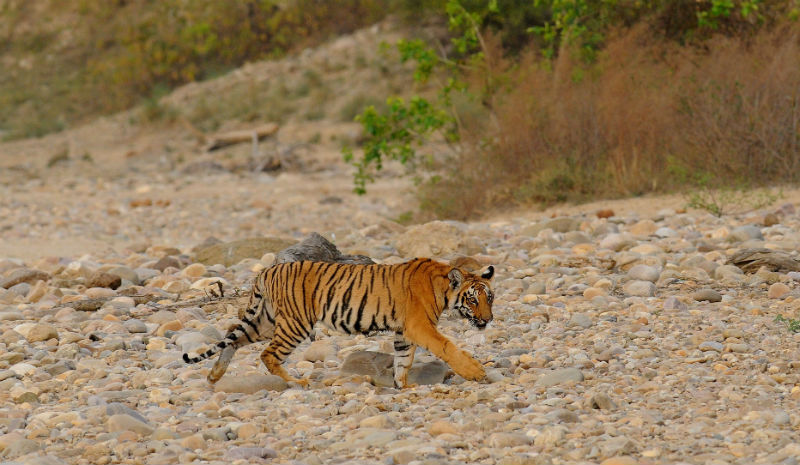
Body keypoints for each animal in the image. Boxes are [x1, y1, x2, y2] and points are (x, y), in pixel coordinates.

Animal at [182, 258, 494, 388]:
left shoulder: (403, 332)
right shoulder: (419, 326)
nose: (488, 320)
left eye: (489, 298)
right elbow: (446, 347)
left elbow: (403, 360)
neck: (443, 288)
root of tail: (265, 271)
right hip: (295, 323)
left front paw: (403, 387)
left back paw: (214, 376)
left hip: (267, 321)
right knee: (268, 354)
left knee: (233, 336)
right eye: (473, 301)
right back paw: (298, 382)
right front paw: (475, 371)